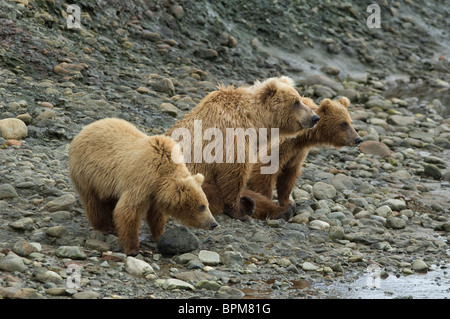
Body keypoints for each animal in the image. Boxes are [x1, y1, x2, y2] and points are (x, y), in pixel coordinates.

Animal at [67, 119, 220, 256]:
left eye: (206, 204)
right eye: (202, 206)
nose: (214, 223)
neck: (160, 176)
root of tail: (85, 129)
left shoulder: (155, 194)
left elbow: (156, 215)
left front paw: (160, 234)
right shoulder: (141, 181)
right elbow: (128, 211)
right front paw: (135, 249)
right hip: (88, 173)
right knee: (94, 201)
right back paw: (105, 227)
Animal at [166, 77, 320, 222]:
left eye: (301, 99)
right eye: (296, 102)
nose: (315, 117)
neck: (254, 120)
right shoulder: (231, 135)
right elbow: (234, 173)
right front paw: (240, 211)